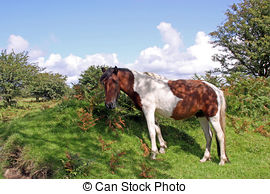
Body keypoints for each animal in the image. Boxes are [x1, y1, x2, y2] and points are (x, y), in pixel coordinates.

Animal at [100, 66, 229, 165]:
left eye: (115, 81)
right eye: (103, 83)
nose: (109, 105)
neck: (143, 86)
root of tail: (215, 89)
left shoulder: (148, 110)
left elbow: (151, 131)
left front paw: (153, 153)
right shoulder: (154, 112)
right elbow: (157, 129)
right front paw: (162, 148)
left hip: (213, 116)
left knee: (220, 135)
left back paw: (222, 160)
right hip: (201, 116)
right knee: (209, 135)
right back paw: (204, 158)